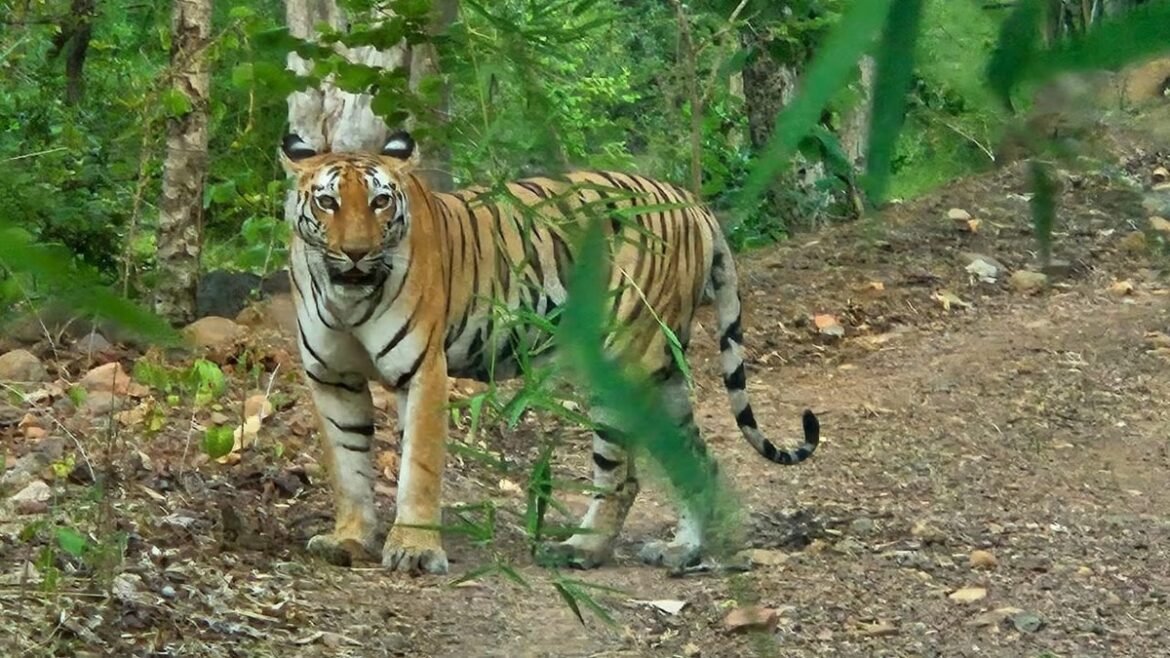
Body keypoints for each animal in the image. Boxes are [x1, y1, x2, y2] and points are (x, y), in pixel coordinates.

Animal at [279, 129, 820, 575]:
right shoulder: (331, 378)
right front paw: (348, 540)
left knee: (621, 478)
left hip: (623, 359)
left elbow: (419, 467)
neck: (347, 297)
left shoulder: (423, 371)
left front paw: (414, 550)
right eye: (327, 202)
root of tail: (691, 201)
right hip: (663, 372)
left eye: (379, 202)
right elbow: (347, 466)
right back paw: (682, 551)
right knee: (697, 462)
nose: (355, 252)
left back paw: (582, 549)